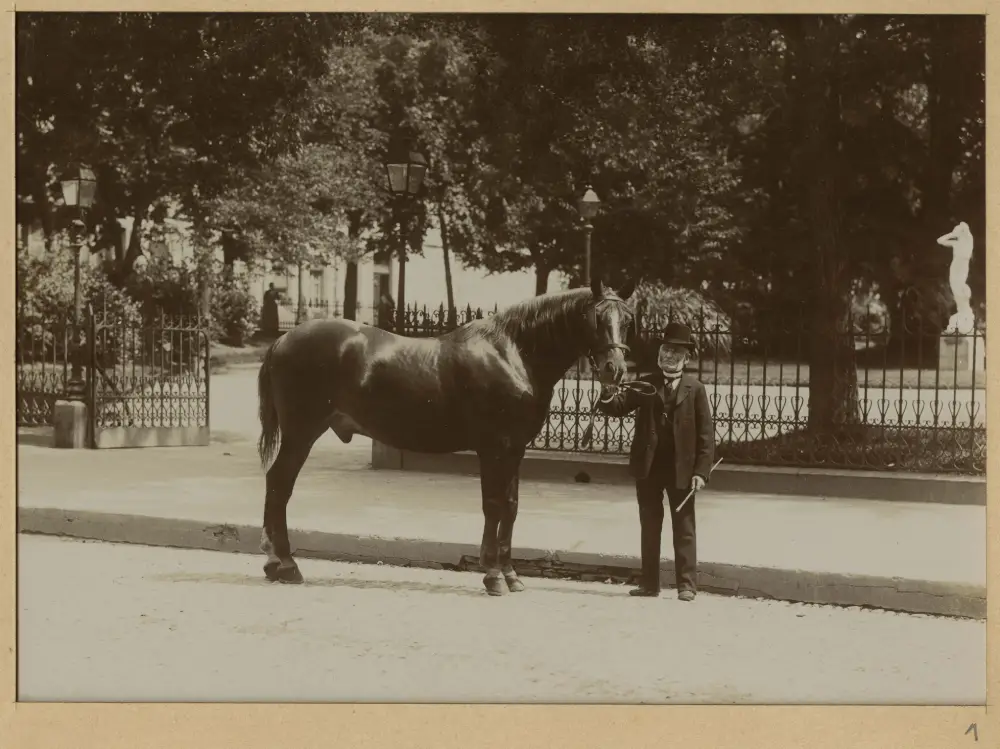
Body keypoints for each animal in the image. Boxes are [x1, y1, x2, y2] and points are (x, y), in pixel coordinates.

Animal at [255, 276, 637, 596]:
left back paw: (276, 564)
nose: (614, 370)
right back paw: (285, 565)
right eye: (596, 318)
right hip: (301, 433)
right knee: (279, 484)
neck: (513, 354)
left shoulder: (515, 449)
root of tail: (282, 339)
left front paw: (511, 574)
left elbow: (511, 506)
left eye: (628, 320)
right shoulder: (493, 448)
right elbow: (493, 505)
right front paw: (493, 576)